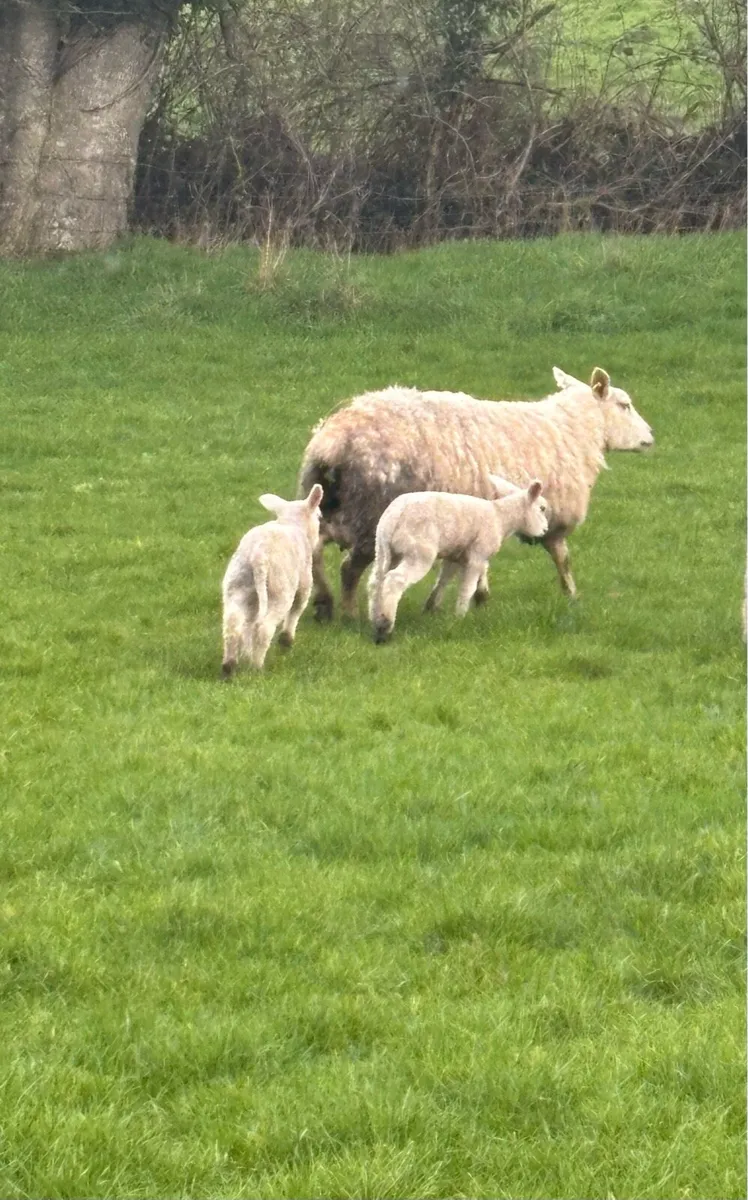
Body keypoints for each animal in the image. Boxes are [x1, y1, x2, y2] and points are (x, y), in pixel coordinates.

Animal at [221, 483, 323, 676]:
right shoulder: (305, 581)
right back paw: (257, 668)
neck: (291, 523)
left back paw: (229, 666)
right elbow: (297, 608)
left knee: (233, 623)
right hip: (279, 590)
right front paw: (286, 640)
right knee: (264, 628)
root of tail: (258, 556)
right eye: (319, 516)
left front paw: (247, 652)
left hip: (237, 584)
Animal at [298, 366, 654, 619]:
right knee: (348, 568)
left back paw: (324, 601)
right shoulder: (551, 516)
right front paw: (571, 596)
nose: (650, 436)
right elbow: (562, 558)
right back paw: (348, 612)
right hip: (369, 515)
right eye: (625, 405)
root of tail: (333, 441)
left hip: (326, 507)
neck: (575, 430)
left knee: (313, 552)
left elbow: (474, 564)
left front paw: (476, 595)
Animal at [368, 476, 549, 643]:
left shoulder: (456, 556)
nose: (545, 531)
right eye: (542, 508)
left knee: (376, 581)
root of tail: (396, 514)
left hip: (383, 548)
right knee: (394, 580)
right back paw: (385, 627)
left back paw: (375, 618)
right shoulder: (477, 554)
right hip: (419, 551)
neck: (500, 518)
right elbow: (467, 587)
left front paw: (432, 607)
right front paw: (460, 616)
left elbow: (444, 580)